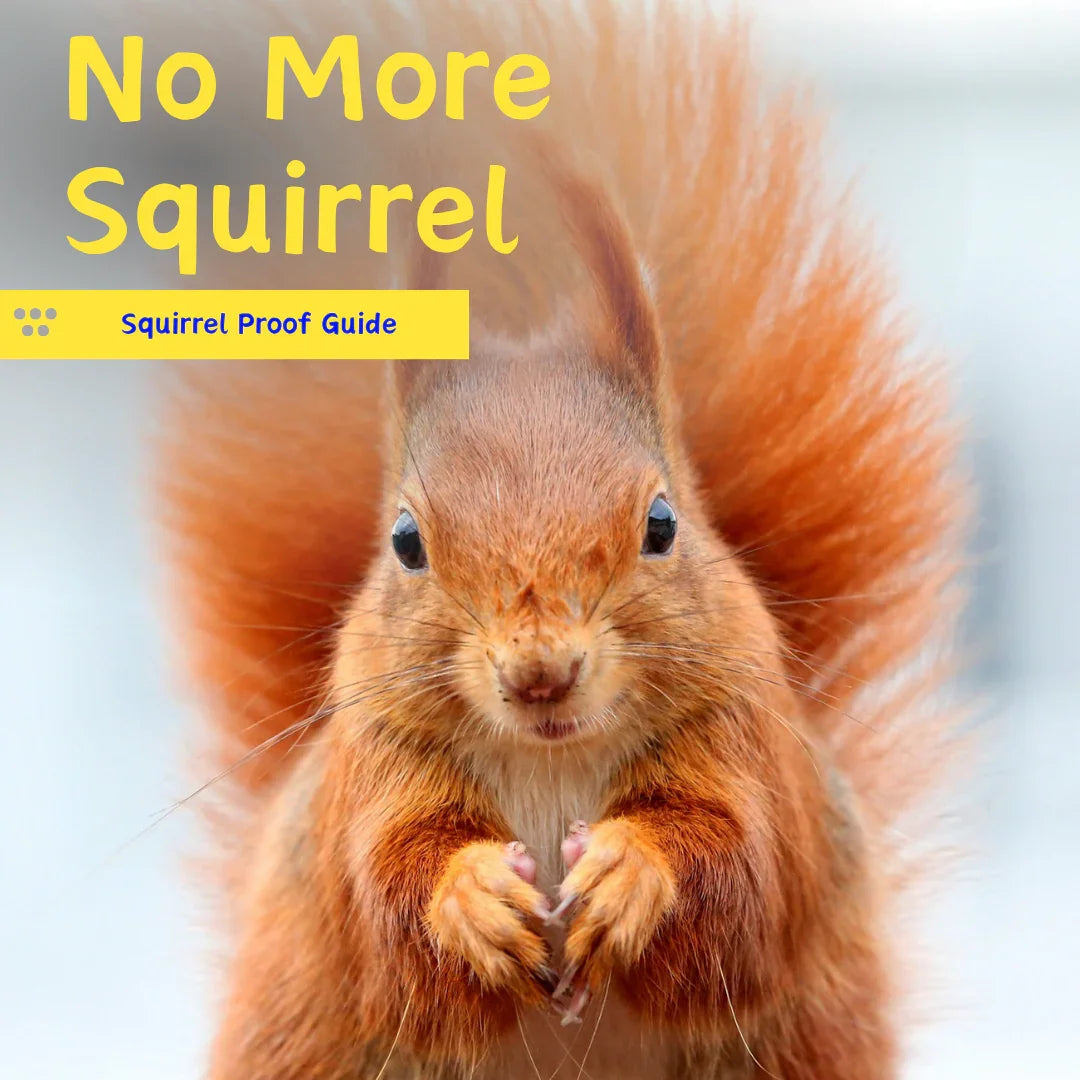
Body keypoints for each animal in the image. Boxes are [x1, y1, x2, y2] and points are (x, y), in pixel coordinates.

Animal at [154, 3, 966, 1078]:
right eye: (406, 541)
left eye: (661, 524)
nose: (540, 674)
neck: (550, 759)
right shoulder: (372, 774)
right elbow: (387, 888)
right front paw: (468, 896)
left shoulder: (750, 748)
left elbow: (739, 870)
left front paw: (631, 871)